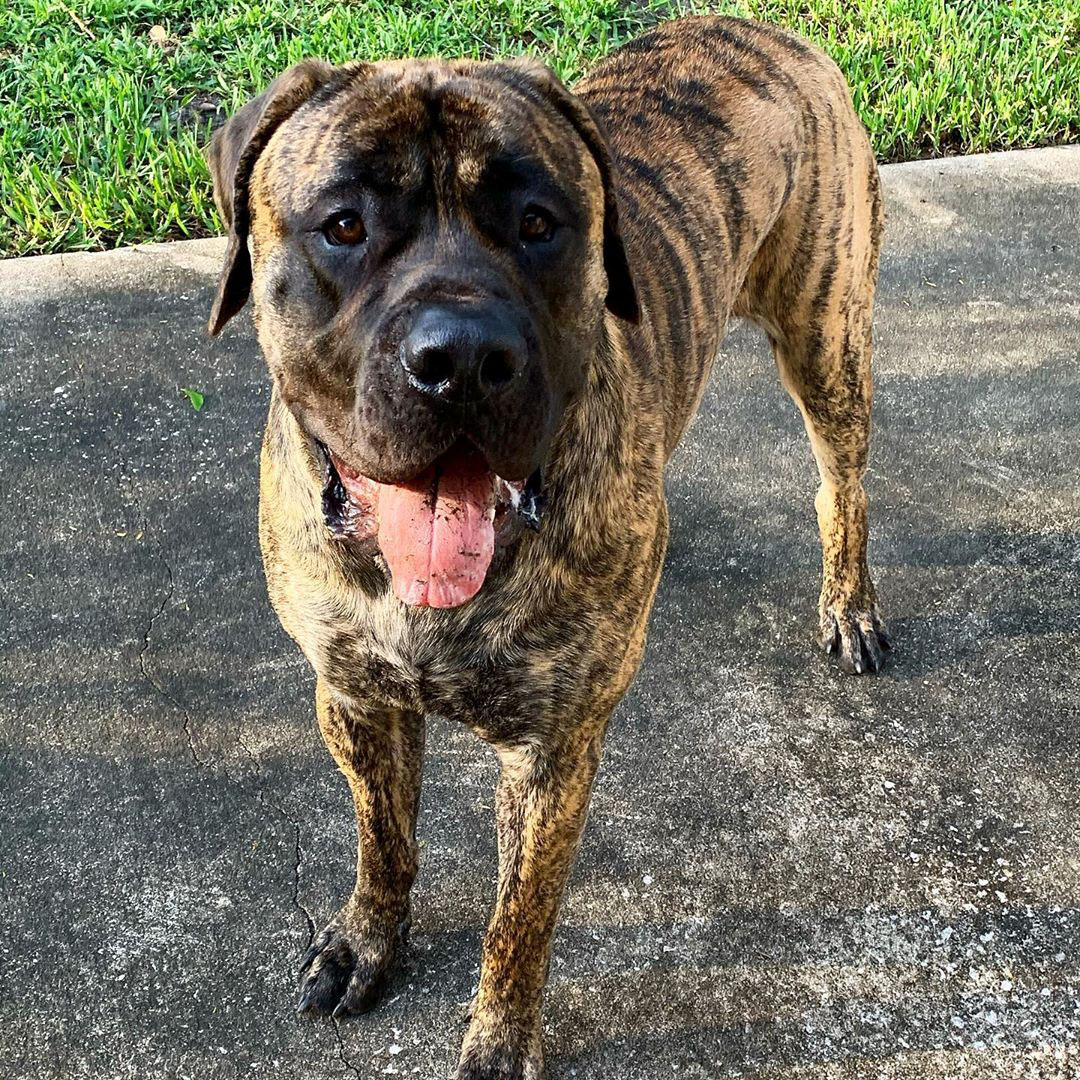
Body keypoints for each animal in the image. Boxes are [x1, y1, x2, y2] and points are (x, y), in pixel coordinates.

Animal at [208, 12, 885, 1075]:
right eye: (344, 226)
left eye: (538, 223)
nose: (460, 359)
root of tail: (763, 26)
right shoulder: (353, 696)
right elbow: (382, 836)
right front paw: (367, 938)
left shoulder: (553, 751)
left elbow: (518, 916)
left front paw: (497, 1036)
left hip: (829, 335)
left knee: (841, 483)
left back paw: (850, 604)